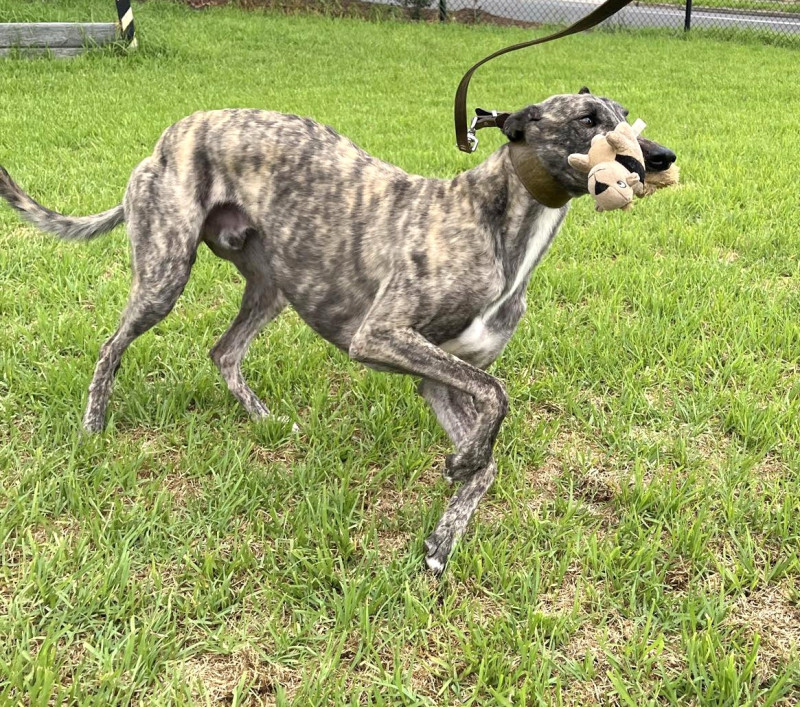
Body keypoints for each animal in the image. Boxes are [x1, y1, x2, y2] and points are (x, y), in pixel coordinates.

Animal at [0, 87, 677, 573]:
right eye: (588, 119)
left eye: (625, 116)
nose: (661, 159)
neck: (494, 220)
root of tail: (168, 140)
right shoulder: (382, 337)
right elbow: (498, 397)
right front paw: (464, 466)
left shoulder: (439, 374)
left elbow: (486, 444)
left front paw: (444, 534)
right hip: (165, 272)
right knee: (111, 346)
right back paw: (93, 427)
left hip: (272, 284)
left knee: (223, 351)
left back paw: (265, 420)